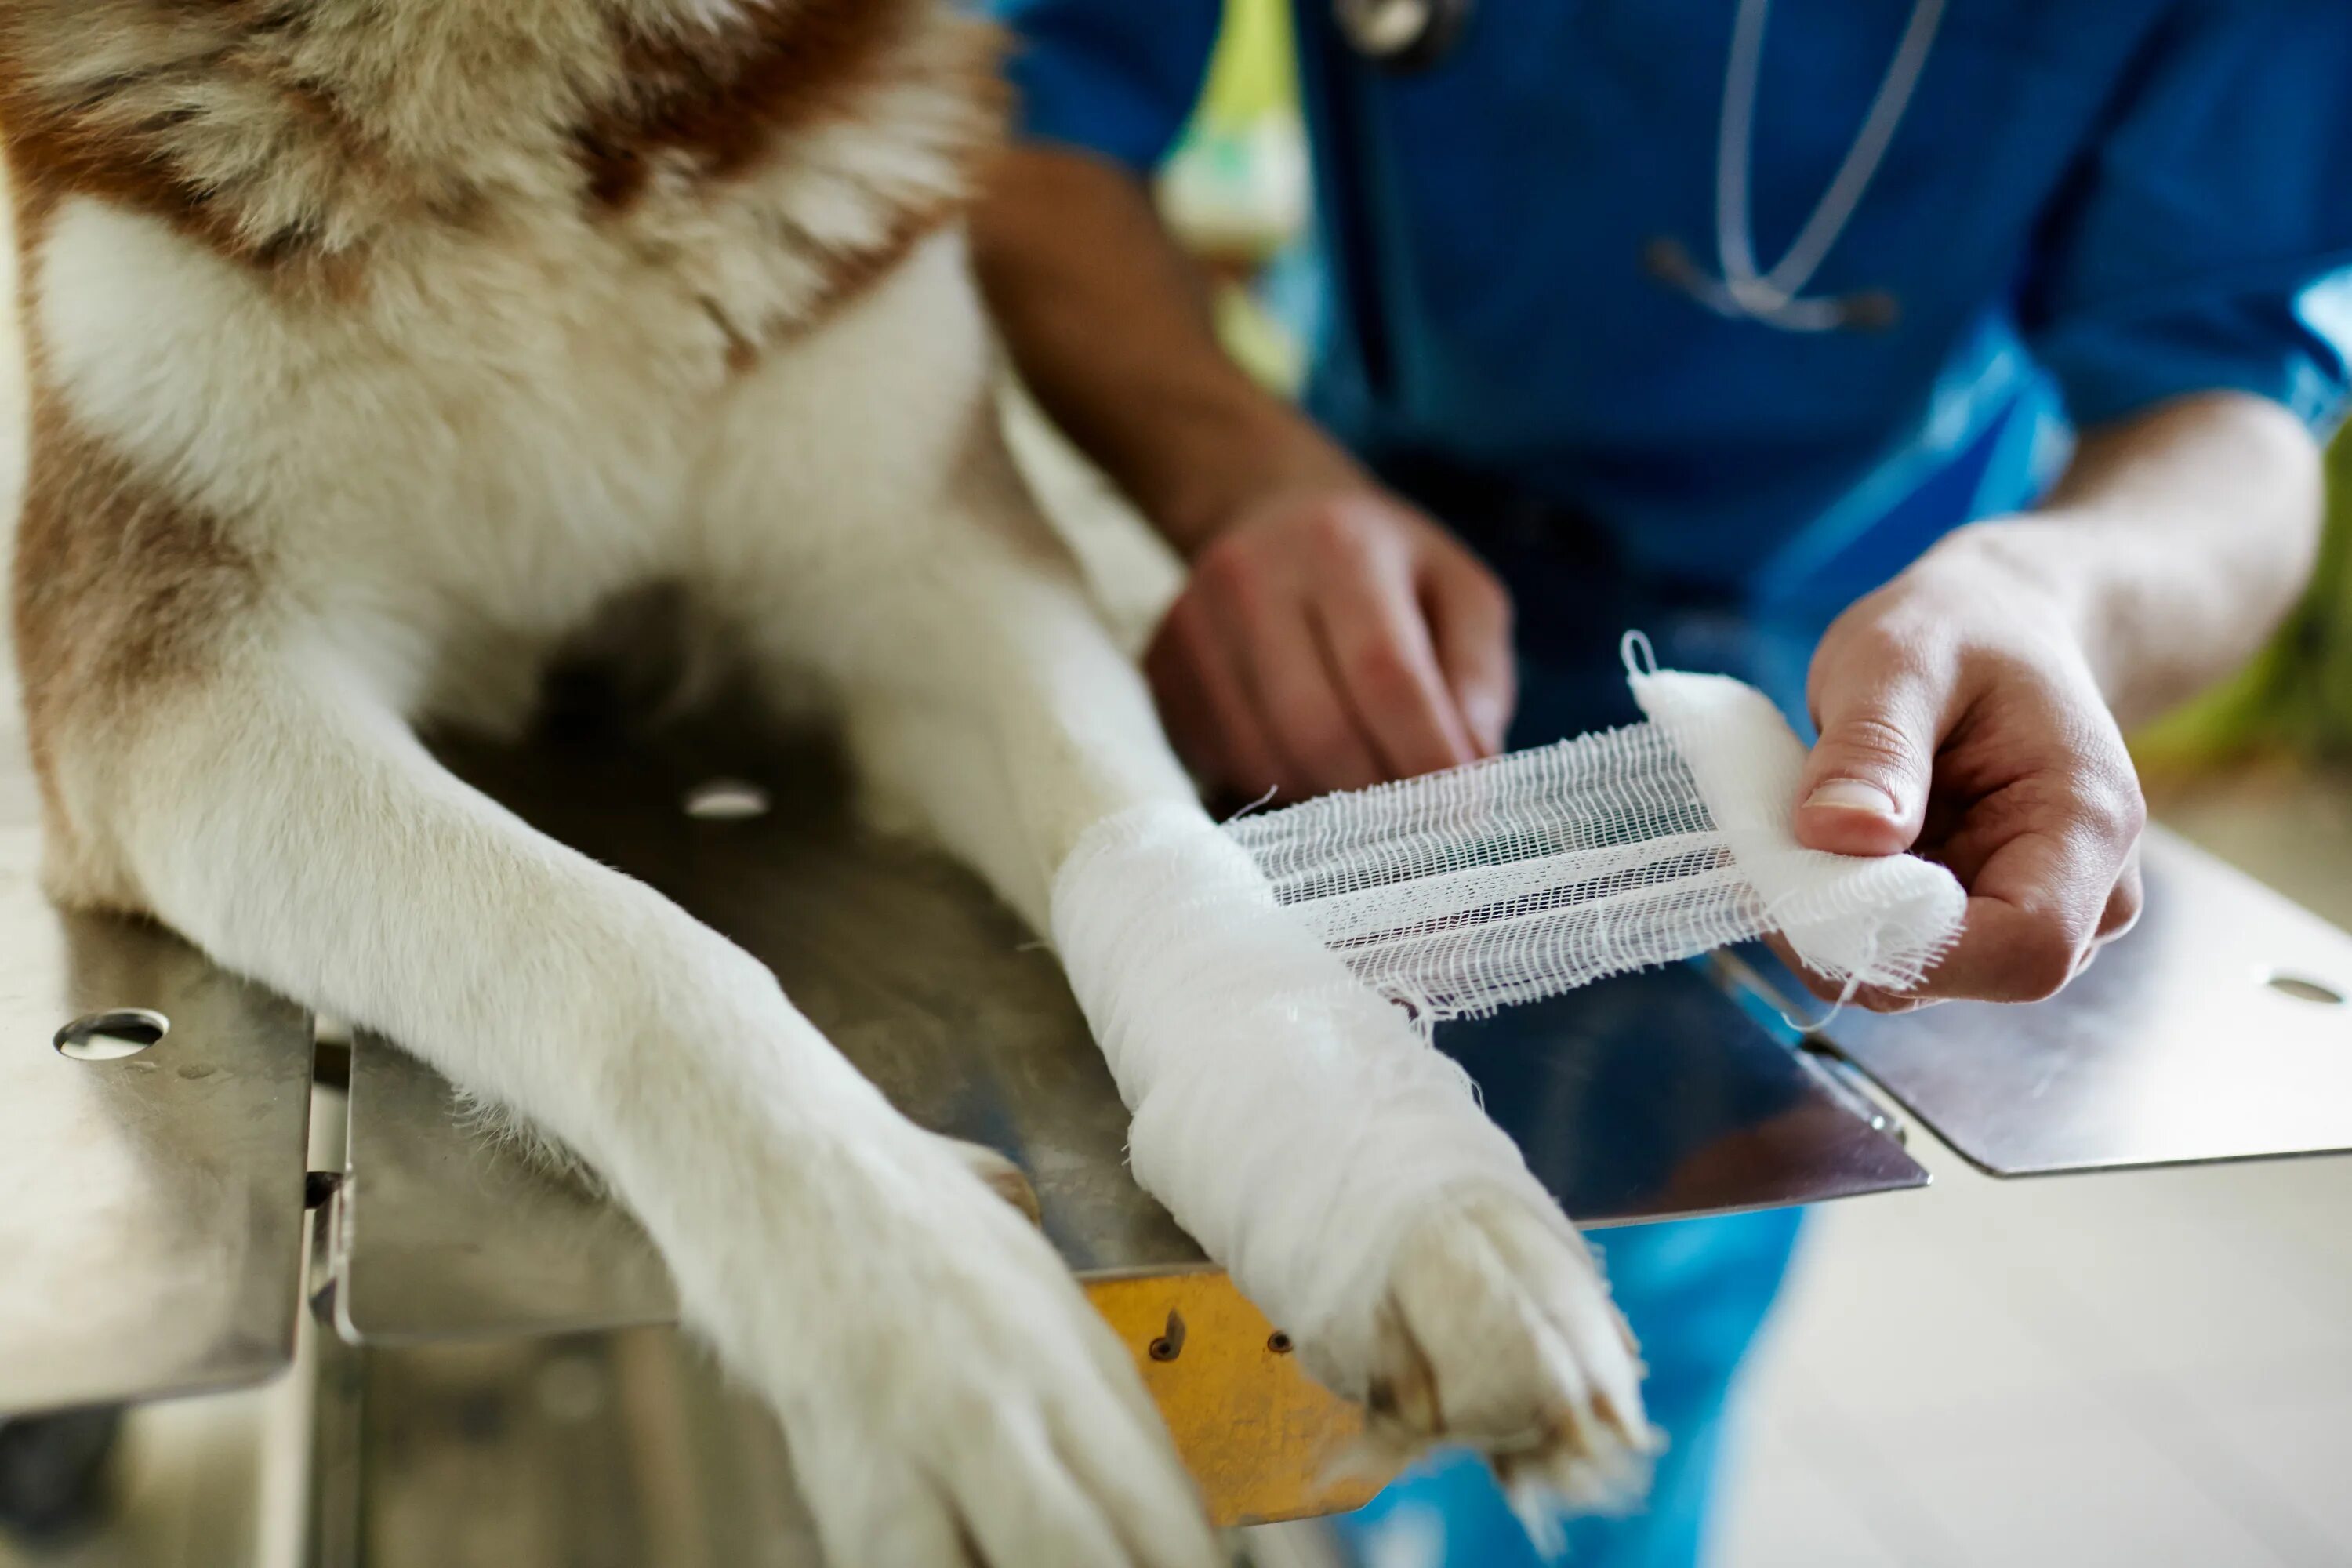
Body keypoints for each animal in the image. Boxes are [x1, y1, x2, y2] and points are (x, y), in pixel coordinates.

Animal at [4, 5, 1656, 1561]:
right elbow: (626, 950)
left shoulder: (923, 552)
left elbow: (1146, 832)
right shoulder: (174, 669)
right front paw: (944, 1334)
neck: (526, 78)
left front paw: (1398, 1190)